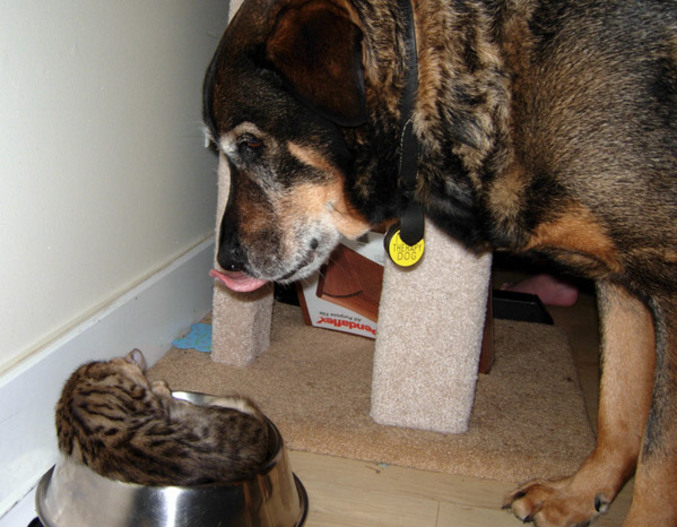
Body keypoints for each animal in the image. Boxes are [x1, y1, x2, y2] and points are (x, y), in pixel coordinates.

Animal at [203, 2, 672, 524]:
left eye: (251, 144)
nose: (225, 260)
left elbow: (658, 465)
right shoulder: (623, 282)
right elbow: (619, 411)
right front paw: (578, 494)